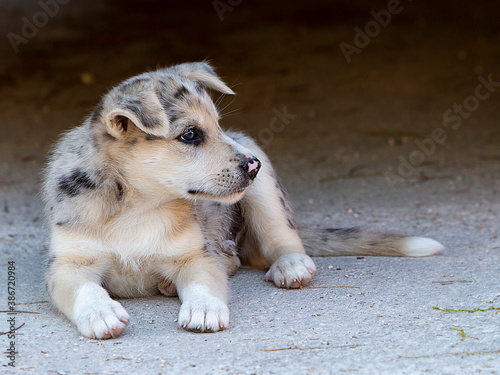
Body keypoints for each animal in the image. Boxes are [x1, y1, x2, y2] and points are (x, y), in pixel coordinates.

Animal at [42, 63, 442, 340]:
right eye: (190, 134)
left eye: (219, 126)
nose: (252, 165)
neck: (137, 205)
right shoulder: (67, 265)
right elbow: (87, 288)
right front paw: (100, 314)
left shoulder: (197, 254)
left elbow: (205, 282)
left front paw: (203, 308)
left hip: (264, 193)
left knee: (279, 239)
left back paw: (291, 265)